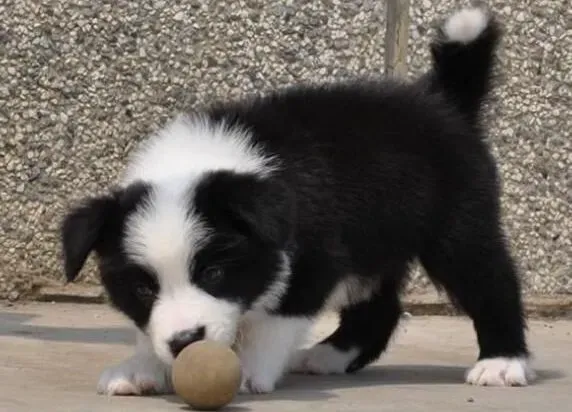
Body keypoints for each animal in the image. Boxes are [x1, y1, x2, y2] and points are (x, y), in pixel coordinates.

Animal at [60, 4, 536, 394]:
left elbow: (278, 315)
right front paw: (142, 366)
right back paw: (330, 354)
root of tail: (442, 100)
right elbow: (148, 327)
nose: (185, 342)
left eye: (214, 273)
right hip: (374, 242)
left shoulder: (317, 255)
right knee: (381, 307)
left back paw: (502, 362)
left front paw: (249, 369)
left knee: (490, 280)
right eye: (143, 287)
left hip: (456, 224)